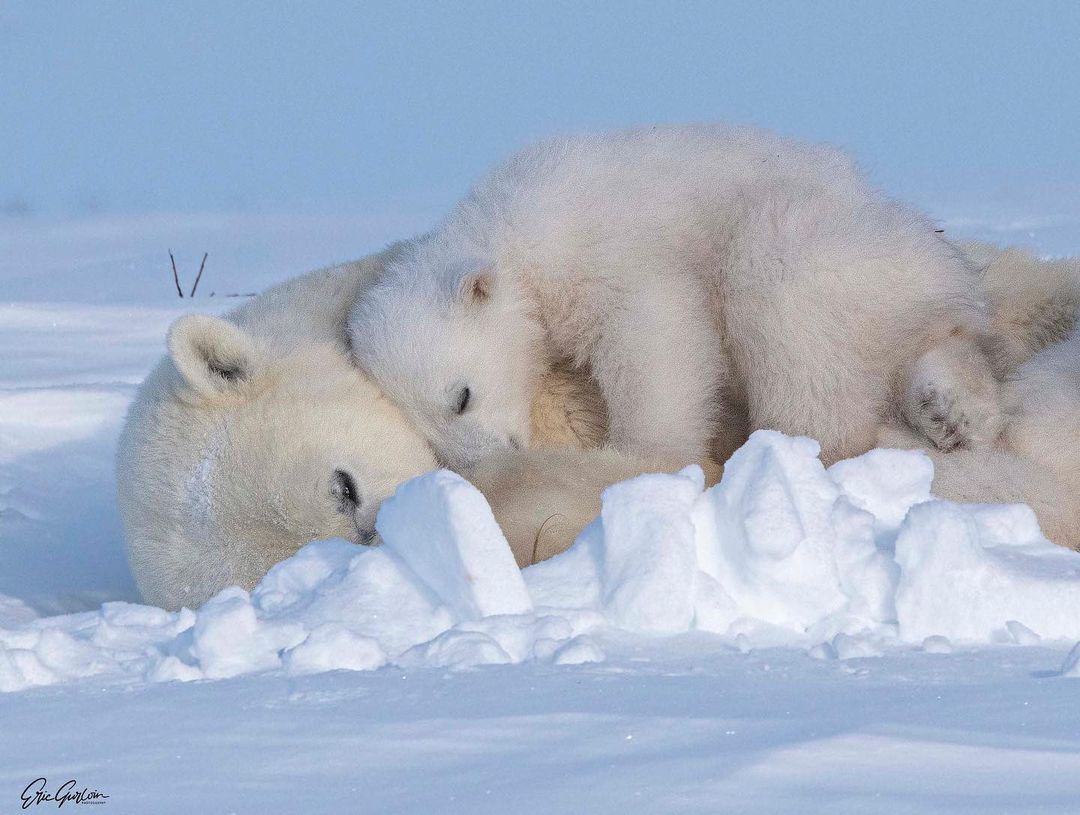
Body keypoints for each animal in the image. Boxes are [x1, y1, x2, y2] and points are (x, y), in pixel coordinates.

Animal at [349, 124, 997, 474]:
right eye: (427, 431)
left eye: (461, 397)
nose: (486, 464)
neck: (504, 230)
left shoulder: (597, 248)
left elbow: (655, 334)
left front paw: (643, 453)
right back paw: (952, 414)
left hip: (825, 242)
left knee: (781, 292)